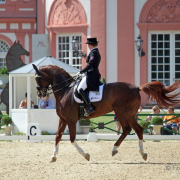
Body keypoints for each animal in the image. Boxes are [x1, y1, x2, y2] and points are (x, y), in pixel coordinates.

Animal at [32, 64, 180, 162]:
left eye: (38, 77)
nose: (40, 94)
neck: (65, 90)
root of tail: (136, 88)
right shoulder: (63, 119)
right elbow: (57, 136)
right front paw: (53, 156)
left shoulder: (71, 120)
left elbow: (72, 139)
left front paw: (86, 155)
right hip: (130, 114)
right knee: (137, 129)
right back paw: (141, 153)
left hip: (121, 113)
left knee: (127, 129)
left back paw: (115, 149)